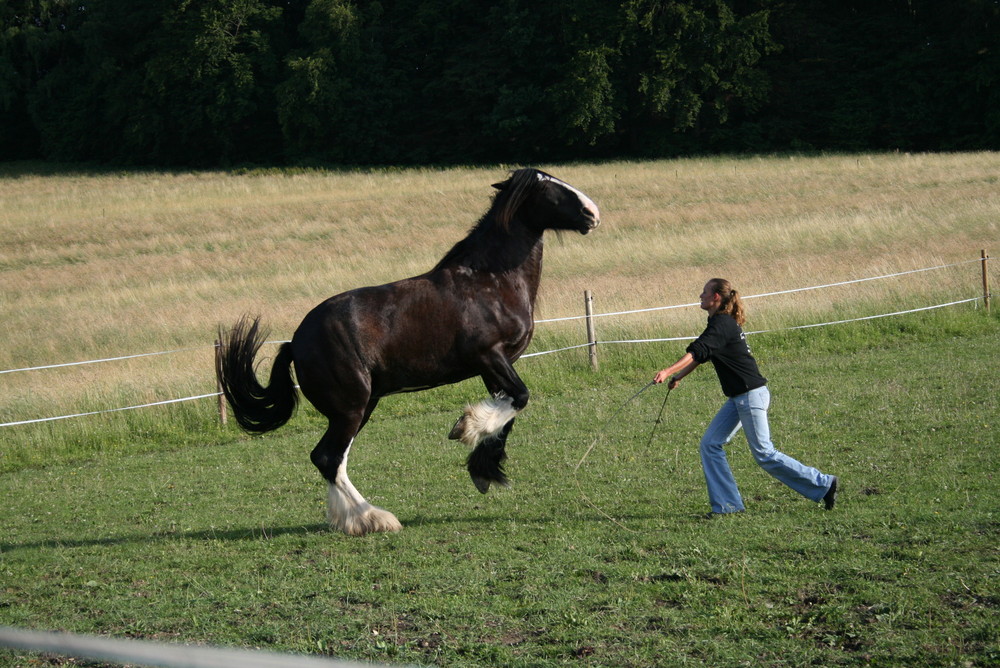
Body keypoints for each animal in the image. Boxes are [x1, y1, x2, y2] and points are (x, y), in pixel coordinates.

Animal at [215, 168, 596, 536]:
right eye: (545, 188)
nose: (591, 212)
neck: (490, 281)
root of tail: (295, 342)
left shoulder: (495, 367)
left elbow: (509, 412)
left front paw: (482, 467)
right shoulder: (490, 357)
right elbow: (520, 398)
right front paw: (466, 429)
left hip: (361, 406)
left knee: (334, 458)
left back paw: (352, 520)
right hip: (351, 407)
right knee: (327, 457)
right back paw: (373, 518)